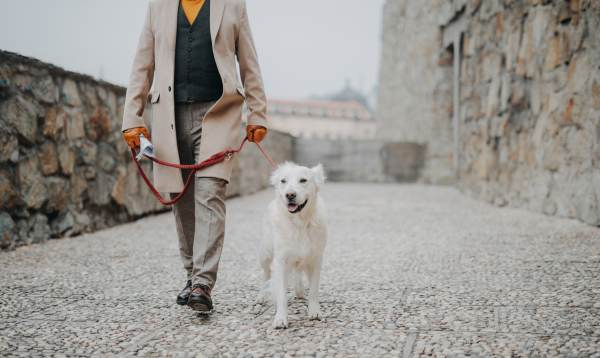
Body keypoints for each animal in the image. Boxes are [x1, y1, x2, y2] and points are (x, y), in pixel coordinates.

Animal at [254, 161, 326, 328]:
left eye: (303, 180)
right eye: (283, 181)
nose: (290, 195)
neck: (299, 223)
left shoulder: (316, 259)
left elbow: (313, 291)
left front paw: (314, 312)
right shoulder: (280, 261)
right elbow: (281, 295)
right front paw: (280, 319)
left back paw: (299, 290)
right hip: (265, 253)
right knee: (266, 273)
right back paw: (262, 295)